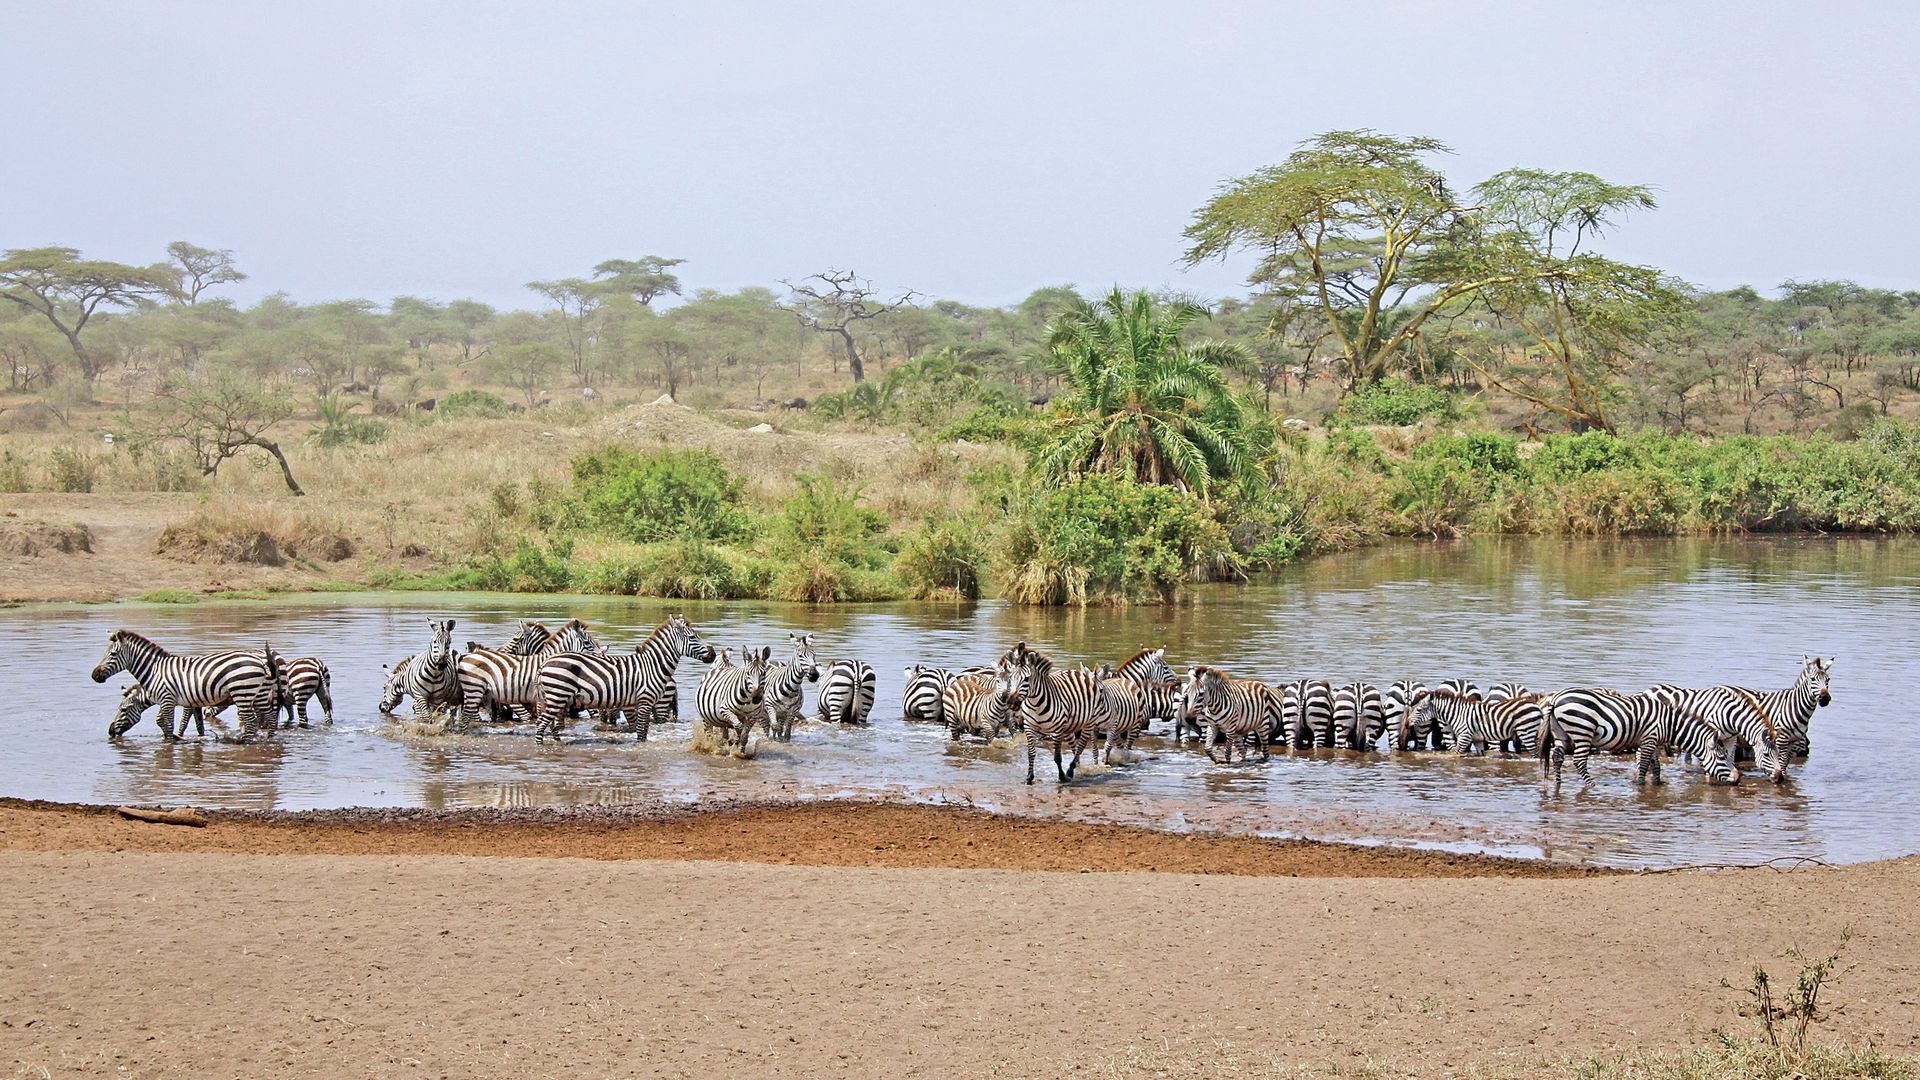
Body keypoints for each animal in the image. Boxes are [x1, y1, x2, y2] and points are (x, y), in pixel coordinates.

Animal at [91, 629, 280, 742]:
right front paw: (192, 739)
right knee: (270, 717)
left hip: (242, 692)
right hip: (260, 693)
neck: (154, 671)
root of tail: (260, 660)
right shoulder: (189, 702)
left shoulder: (167, 699)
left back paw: (245, 743)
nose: (94, 675)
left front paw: (170, 742)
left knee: (251, 720)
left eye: (112, 654)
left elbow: (166, 723)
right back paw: (270, 740)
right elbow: (195, 725)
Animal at [534, 614, 715, 741]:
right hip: (558, 695)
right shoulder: (645, 701)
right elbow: (641, 732)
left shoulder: (642, 703)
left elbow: (643, 730)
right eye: (692, 637)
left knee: (548, 723)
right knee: (541, 724)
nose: (713, 654)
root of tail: (545, 662)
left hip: (553, 697)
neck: (653, 665)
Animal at [999, 642, 1107, 784]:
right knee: (1074, 746)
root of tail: (1077, 672)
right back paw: (1077, 767)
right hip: (1069, 726)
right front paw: (1029, 777)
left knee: (1081, 746)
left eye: (1027, 679)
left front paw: (1062, 777)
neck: (1036, 704)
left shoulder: (1057, 730)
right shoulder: (1029, 727)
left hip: (1088, 723)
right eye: (1011, 678)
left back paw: (1070, 771)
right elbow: (1031, 754)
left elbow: (1057, 757)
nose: (1011, 702)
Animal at [1539, 687, 1736, 787]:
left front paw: (1656, 783)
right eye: (1721, 757)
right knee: (1579, 761)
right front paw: (1641, 785)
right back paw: (1591, 785)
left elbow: (1656, 766)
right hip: (1582, 731)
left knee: (1557, 757)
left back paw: (1558, 782)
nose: (1738, 778)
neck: (1670, 724)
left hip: (1562, 733)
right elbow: (1644, 766)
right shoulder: (1649, 740)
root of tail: (1555, 698)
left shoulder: (1654, 741)